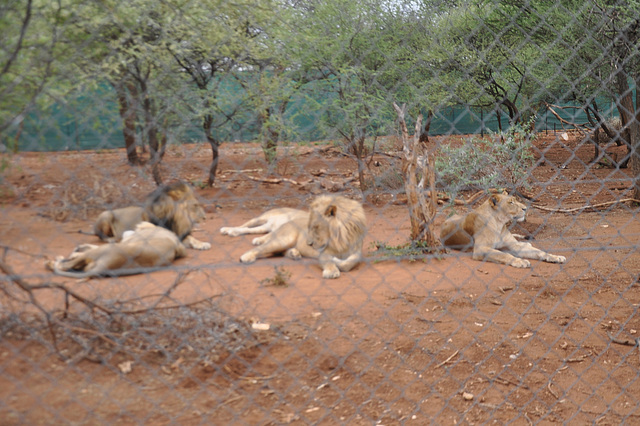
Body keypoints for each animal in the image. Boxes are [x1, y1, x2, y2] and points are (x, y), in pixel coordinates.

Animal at [46, 221, 186, 278]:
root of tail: (104, 266)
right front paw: (78, 248)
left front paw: (76, 251)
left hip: (107, 248)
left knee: (65, 265)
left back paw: (53, 262)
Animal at [240, 194, 368, 280]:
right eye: (309, 227)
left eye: (316, 227)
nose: (309, 244)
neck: (340, 238)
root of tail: (287, 222)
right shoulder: (324, 253)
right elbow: (329, 260)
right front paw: (331, 270)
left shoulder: (357, 251)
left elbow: (350, 262)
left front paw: (339, 262)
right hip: (284, 239)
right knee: (261, 248)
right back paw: (245, 257)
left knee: (279, 252)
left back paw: (294, 254)